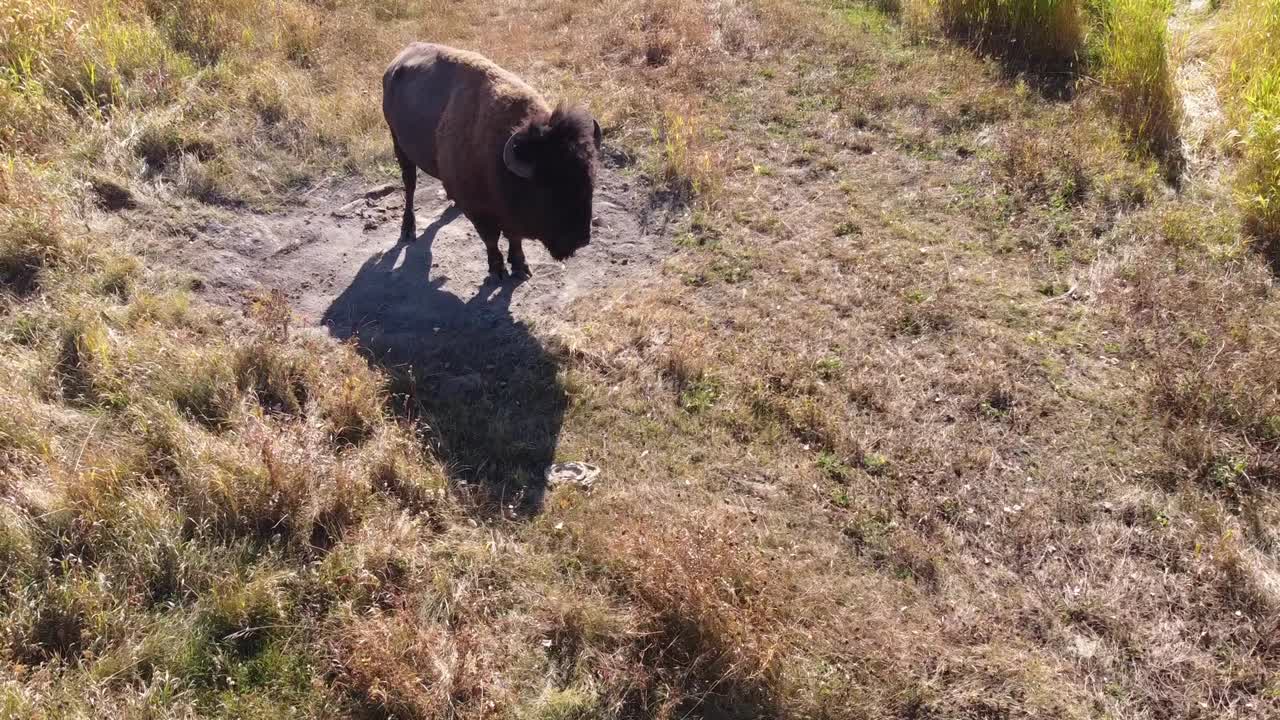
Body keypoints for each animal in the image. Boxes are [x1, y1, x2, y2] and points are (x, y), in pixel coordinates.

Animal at [382, 42, 603, 279]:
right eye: (548, 190)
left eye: (590, 183)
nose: (581, 239)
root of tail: (397, 62)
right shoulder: (478, 212)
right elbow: (490, 238)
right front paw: (497, 270)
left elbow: (514, 237)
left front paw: (520, 266)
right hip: (397, 143)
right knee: (410, 184)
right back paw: (408, 230)